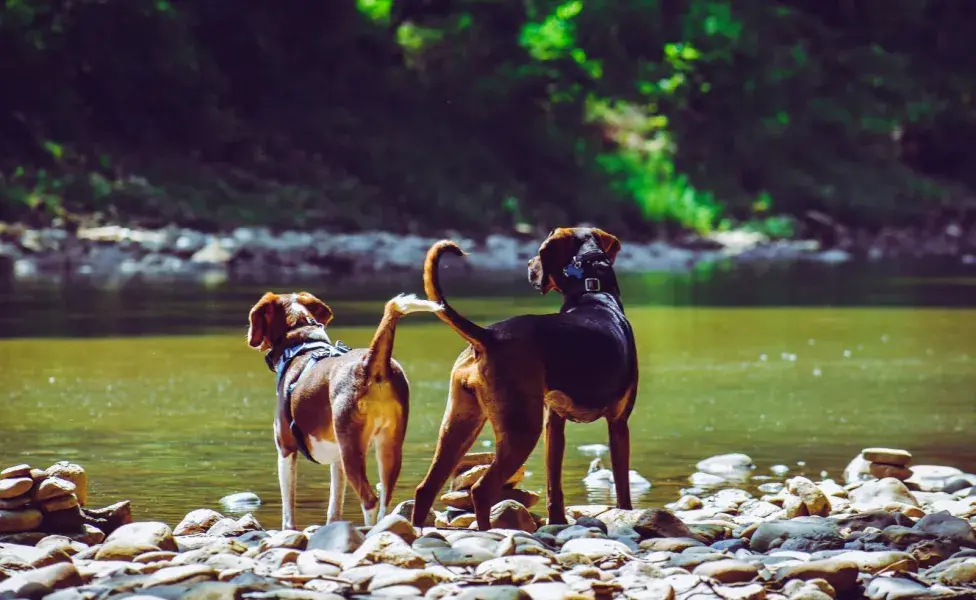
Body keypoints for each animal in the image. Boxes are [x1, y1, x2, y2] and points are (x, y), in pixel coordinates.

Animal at [246, 290, 440, 528]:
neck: (302, 344)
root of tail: (370, 363)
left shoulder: (285, 448)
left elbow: (288, 509)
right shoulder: (336, 460)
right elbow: (334, 506)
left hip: (352, 450)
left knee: (370, 500)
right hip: (389, 446)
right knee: (385, 498)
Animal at [408, 226, 636, 528]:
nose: (528, 265)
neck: (593, 292)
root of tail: (488, 335)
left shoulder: (554, 424)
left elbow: (554, 485)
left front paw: (557, 521)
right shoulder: (619, 423)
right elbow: (622, 485)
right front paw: (626, 513)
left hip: (459, 424)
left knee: (426, 489)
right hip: (521, 430)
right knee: (481, 490)